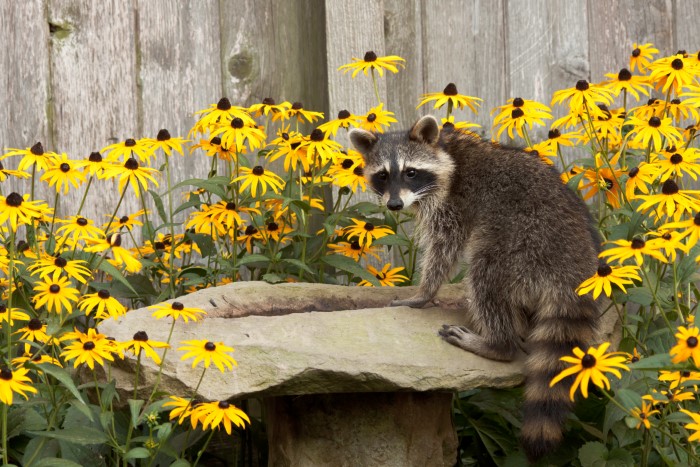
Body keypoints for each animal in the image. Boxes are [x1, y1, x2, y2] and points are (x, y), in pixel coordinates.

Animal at [350, 115, 600, 462]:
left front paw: (424, 292)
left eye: (411, 172)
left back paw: (496, 343)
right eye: (383, 175)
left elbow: (445, 249)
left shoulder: (454, 203)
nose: (395, 204)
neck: (444, 151)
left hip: (522, 241)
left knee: (485, 275)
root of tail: (575, 267)